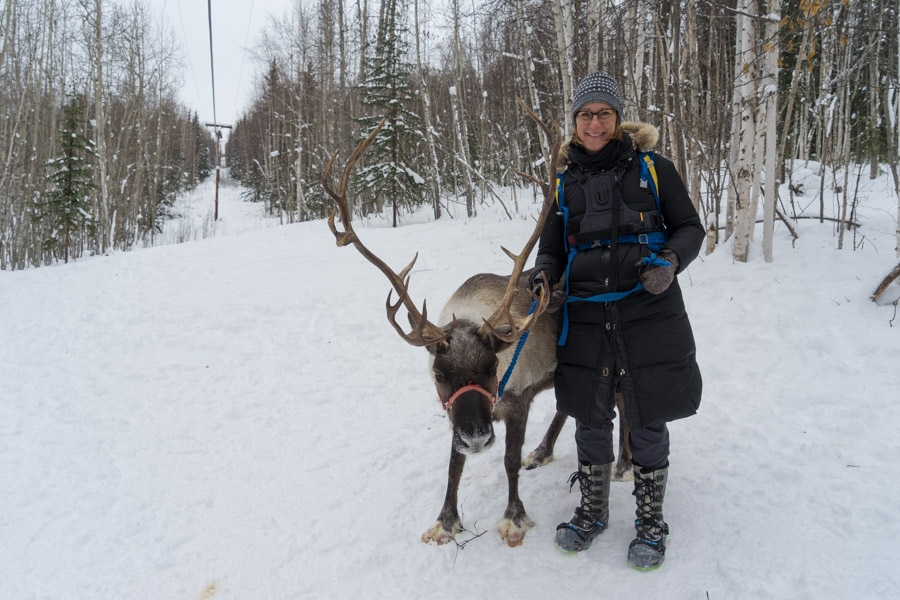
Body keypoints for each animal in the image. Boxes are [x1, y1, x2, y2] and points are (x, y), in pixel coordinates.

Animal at [324, 103, 631, 548]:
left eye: (491, 367)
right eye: (438, 373)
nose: (477, 438)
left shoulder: (517, 402)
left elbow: (508, 460)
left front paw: (514, 518)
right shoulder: (454, 411)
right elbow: (454, 464)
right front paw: (447, 520)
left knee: (623, 404)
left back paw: (623, 464)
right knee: (567, 408)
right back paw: (542, 451)